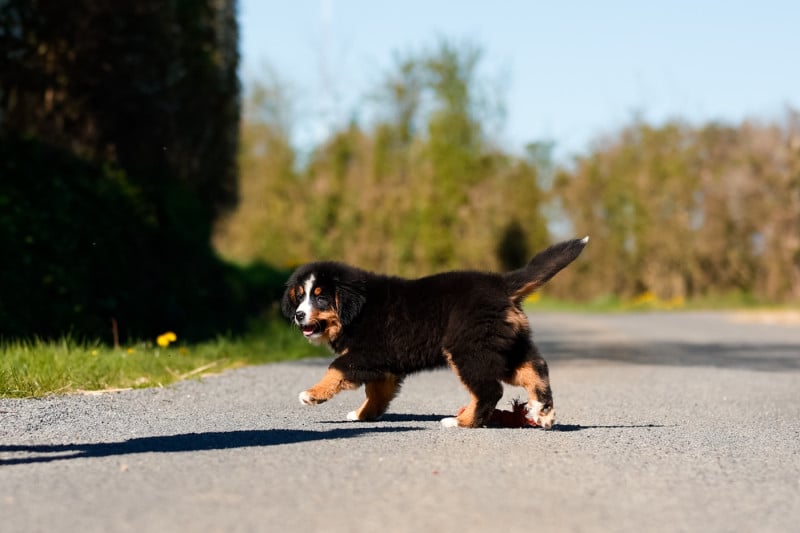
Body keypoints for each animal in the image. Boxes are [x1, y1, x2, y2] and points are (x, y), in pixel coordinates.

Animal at [281, 237, 588, 429]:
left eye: (321, 298)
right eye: (299, 297)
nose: (298, 315)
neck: (357, 310)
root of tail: (501, 284)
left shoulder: (367, 354)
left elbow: (336, 368)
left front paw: (312, 394)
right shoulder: (385, 366)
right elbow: (376, 393)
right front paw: (362, 415)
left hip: (469, 349)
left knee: (490, 389)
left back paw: (461, 422)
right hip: (504, 346)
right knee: (535, 368)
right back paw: (543, 412)